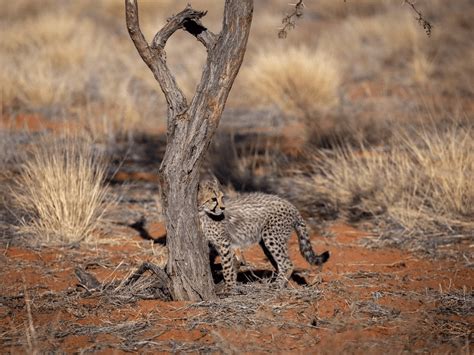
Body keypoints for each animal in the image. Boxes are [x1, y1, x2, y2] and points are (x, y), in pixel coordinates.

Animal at [196, 178, 330, 292]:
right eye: (213, 199)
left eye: (222, 197)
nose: (223, 208)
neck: (204, 213)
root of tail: (290, 205)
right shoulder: (218, 245)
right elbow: (227, 262)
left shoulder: (224, 243)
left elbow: (228, 266)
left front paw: (229, 288)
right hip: (268, 243)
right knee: (280, 263)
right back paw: (282, 282)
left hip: (272, 237)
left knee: (287, 263)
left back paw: (277, 284)